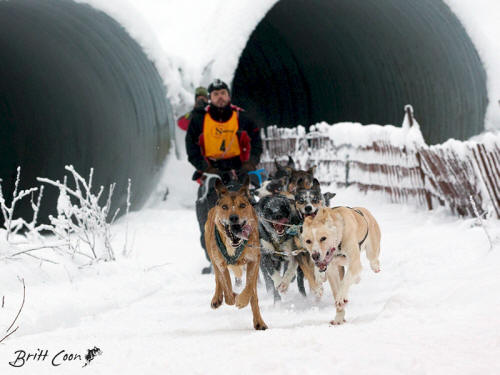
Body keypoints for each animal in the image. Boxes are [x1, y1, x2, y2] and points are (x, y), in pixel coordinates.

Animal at [203, 178, 268, 330]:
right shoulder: (221, 264)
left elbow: (250, 287)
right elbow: (227, 292)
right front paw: (232, 296)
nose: (233, 217)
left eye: (242, 205)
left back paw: (259, 322)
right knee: (218, 278)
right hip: (213, 256)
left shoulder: (254, 260)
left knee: (253, 294)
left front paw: (243, 299)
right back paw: (217, 298)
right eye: (225, 207)